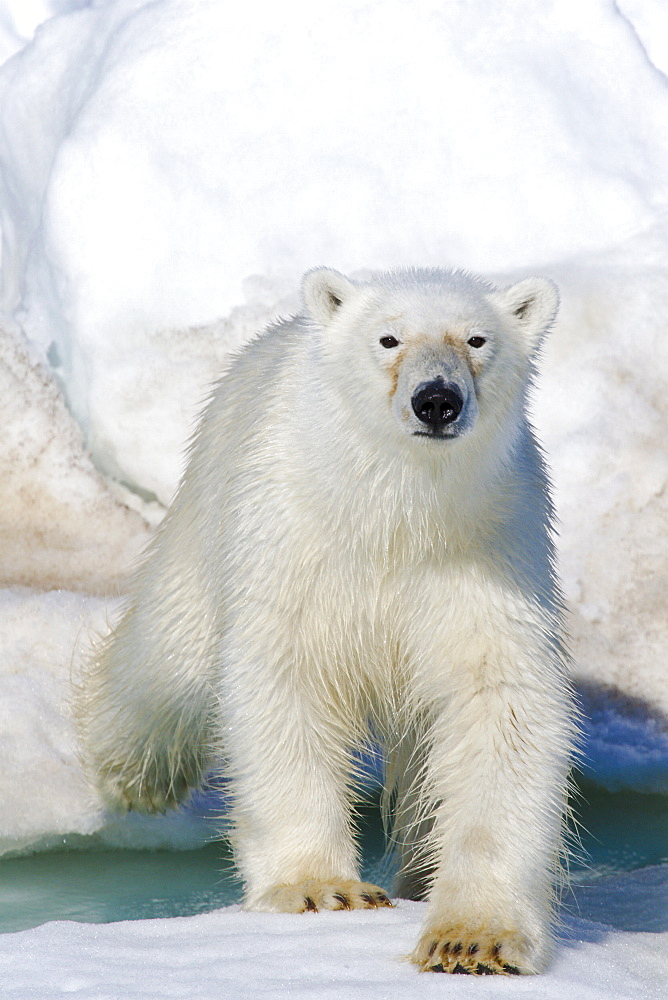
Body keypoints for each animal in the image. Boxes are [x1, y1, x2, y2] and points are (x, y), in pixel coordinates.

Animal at [81, 268, 576, 976]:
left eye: (478, 338)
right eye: (388, 337)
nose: (437, 400)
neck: (394, 513)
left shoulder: (487, 552)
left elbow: (497, 706)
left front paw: (470, 939)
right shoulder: (297, 546)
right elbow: (287, 684)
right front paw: (321, 889)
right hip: (209, 503)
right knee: (168, 654)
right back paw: (132, 776)